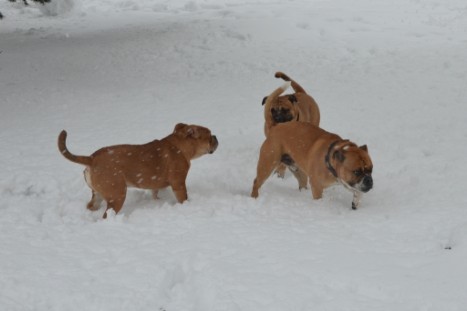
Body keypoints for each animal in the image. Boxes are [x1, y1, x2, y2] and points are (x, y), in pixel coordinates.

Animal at [58, 123, 219, 218]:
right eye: (209, 136)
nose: (216, 136)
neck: (179, 145)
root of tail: (92, 158)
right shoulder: (179, 183)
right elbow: (183, 197)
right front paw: (186, 205)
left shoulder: (156, 185)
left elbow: (155, 193)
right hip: (117, 195)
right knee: (107, 214)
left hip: (97, 194)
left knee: (91, 205)